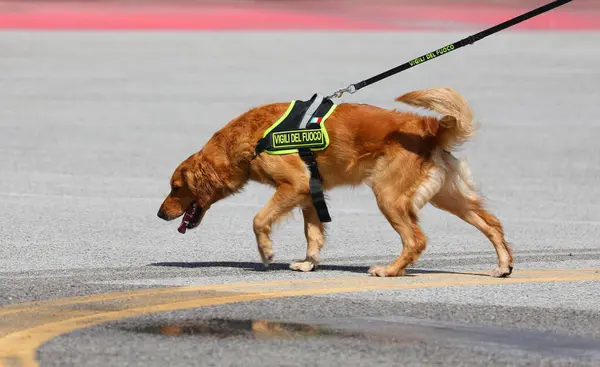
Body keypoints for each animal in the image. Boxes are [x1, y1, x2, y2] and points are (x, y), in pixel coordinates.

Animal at [157, 88, 512, 278]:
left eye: (176, 187)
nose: (160, 214)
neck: (249, 138)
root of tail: (429, 127)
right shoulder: (309, 192)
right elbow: (313, 233)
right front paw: (309, 263)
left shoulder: (295, 185)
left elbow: (259, 220)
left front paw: (267, 251)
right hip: (448, 197)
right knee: (492, 224)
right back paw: (503, 266)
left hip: (388, 196)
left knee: (416, 240)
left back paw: (390, 270)